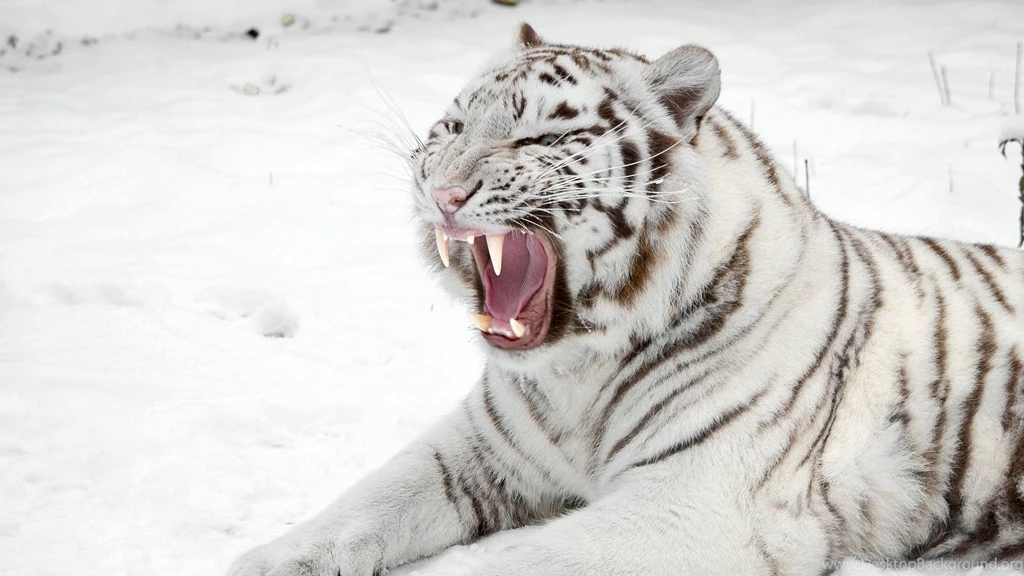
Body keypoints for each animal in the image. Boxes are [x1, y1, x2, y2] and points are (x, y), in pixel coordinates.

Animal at [227, 23, 1024, 576]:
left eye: (536, 137)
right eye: (449, 128)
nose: (443, 192)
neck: (576, 371)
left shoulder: (694, 500)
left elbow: (514, 566)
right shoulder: (479, 449)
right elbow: (360, 507)